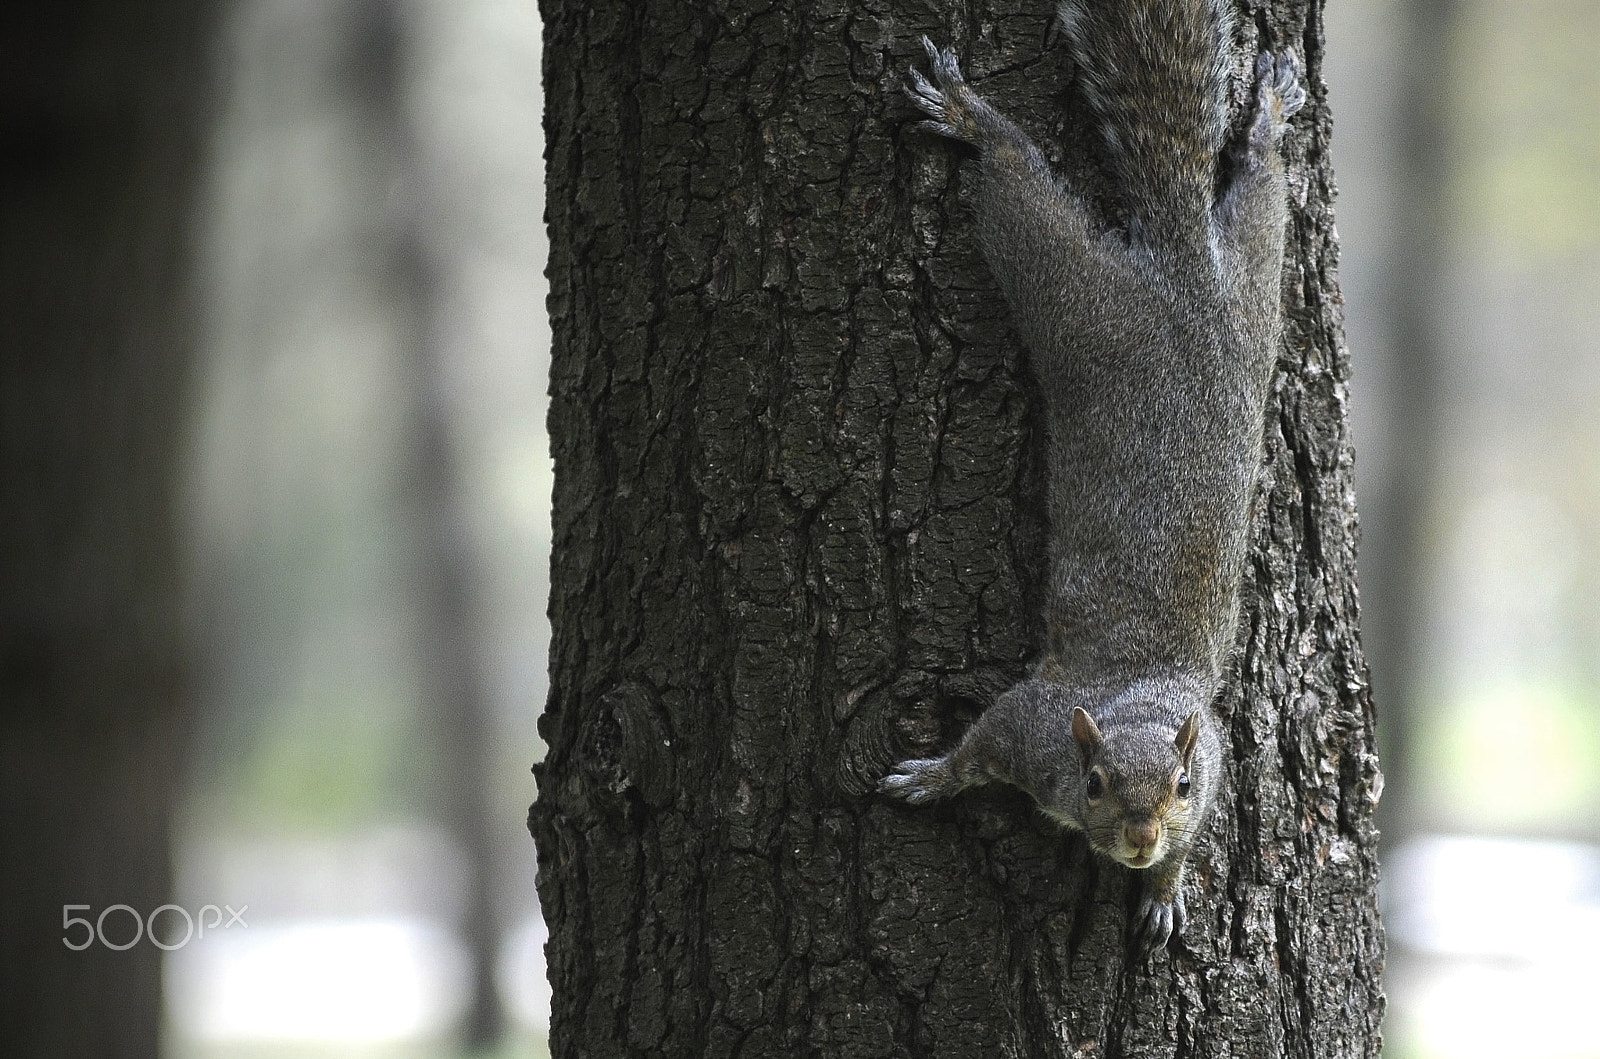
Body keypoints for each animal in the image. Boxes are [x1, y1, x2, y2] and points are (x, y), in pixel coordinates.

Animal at [883, 0, 1305, 959]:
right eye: (1097, 782)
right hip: (1072, 293)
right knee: (1017, 184)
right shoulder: (1030, 723)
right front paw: (933, 776)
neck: (1137, 704)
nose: (1140, 840)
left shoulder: (1215, 765)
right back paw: (974, 119)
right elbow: (976, 746)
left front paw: (1166, 889)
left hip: (1255, 279)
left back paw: (1265, 123)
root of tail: (1185, 270)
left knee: (1260, 190)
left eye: (1182, 785)